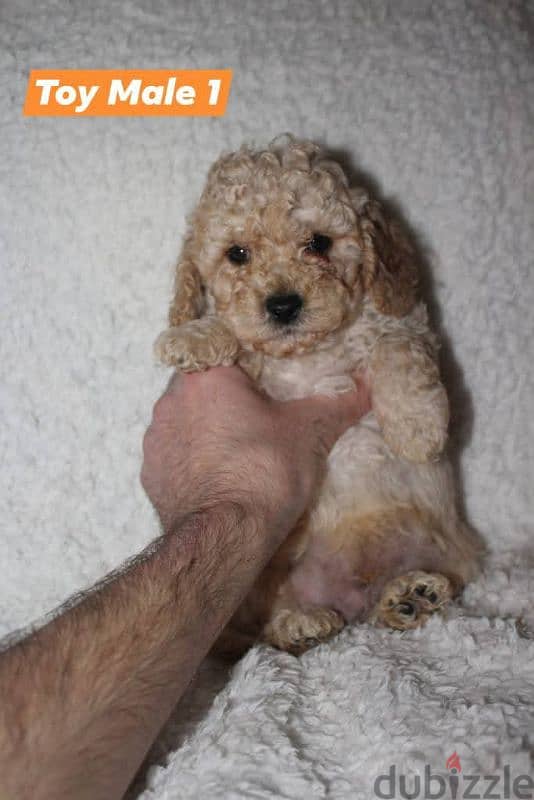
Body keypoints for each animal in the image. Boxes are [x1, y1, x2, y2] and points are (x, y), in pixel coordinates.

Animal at [156, 136, 486, 656]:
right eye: (237, 254)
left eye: (319, 243)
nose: (283, 305)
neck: (309, 353)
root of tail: (347, 594)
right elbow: (238, 338)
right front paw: (192, 336)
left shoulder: (406, 324)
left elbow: (398, 349)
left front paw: (418, 430)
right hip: (263, 579)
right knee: (265, 622)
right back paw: (302, 623)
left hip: (437, 544)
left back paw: (411, 595)